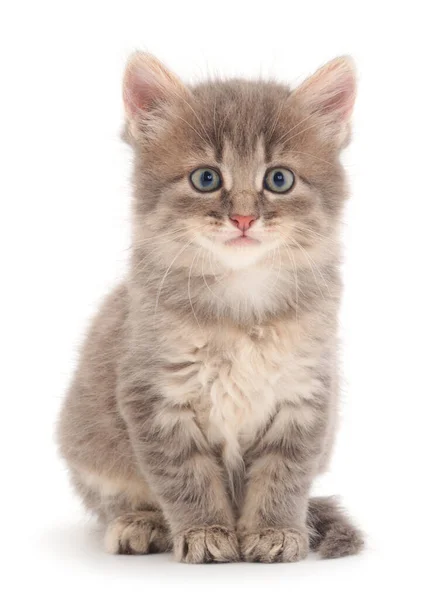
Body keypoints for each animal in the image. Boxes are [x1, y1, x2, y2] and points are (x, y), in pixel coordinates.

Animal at [58, 51, 364, 564]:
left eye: (279, 179)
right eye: (206, 179)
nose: (242, 218)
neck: (241, 302)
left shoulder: (305, 393)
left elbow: (283, 475)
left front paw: (276, 531)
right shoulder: (156, 396)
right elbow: (186, 478)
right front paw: (204, 532)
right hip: (89, 446)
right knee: (116, 499)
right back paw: (139, 523)